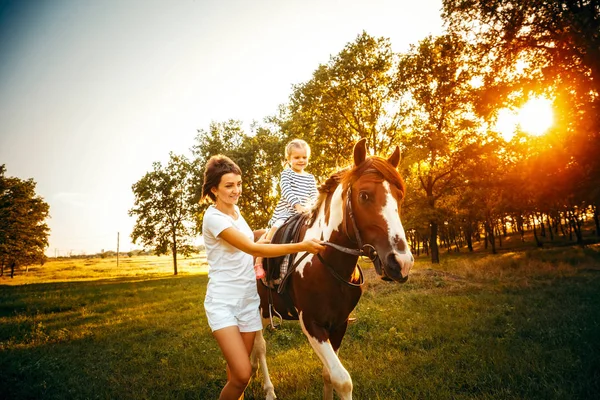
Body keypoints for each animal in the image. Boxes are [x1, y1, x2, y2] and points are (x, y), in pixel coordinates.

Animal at [251, 138, 414, 400]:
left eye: (399, 196)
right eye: (364, 195)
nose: (401, 262)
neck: (326, 261)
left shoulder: (339, 323)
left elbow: (328, 375)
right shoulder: (312, 325)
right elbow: (342, 380)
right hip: (254, 311)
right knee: (260, 347)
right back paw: (268, 390)